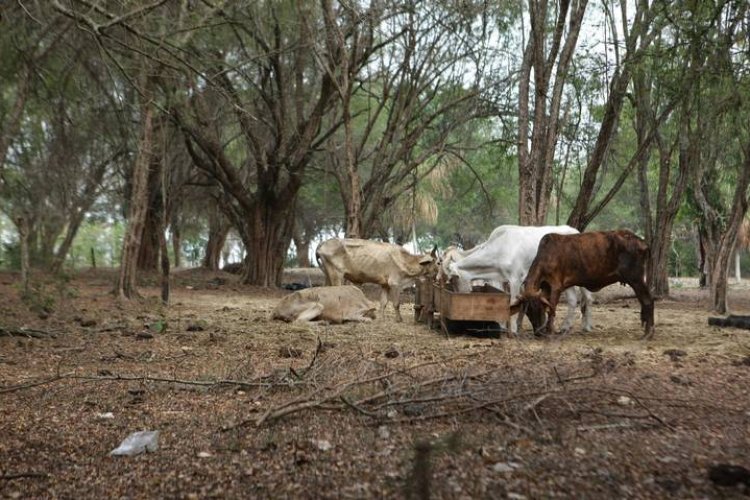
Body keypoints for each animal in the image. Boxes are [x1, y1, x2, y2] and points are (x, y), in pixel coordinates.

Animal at [446, 225, 592, 334]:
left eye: (454, 278)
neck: (500, 248)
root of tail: (575, 231)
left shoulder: (515, 279)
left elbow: (513, 301)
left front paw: (514, 329)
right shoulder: (499, 278)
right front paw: (502, 325)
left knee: (587, 299)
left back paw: (587, 326)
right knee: (573, 300)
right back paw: (566, 327)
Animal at [516, 230, 656, 340]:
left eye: (539, 308)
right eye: (528, 311)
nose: (537, 333)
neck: (546, 256)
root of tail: (642, 242)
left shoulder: (556, 286)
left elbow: (552, 309)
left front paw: (549, 331)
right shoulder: (546, 287)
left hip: (636, 280)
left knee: (648, 301)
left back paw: (648, 334)